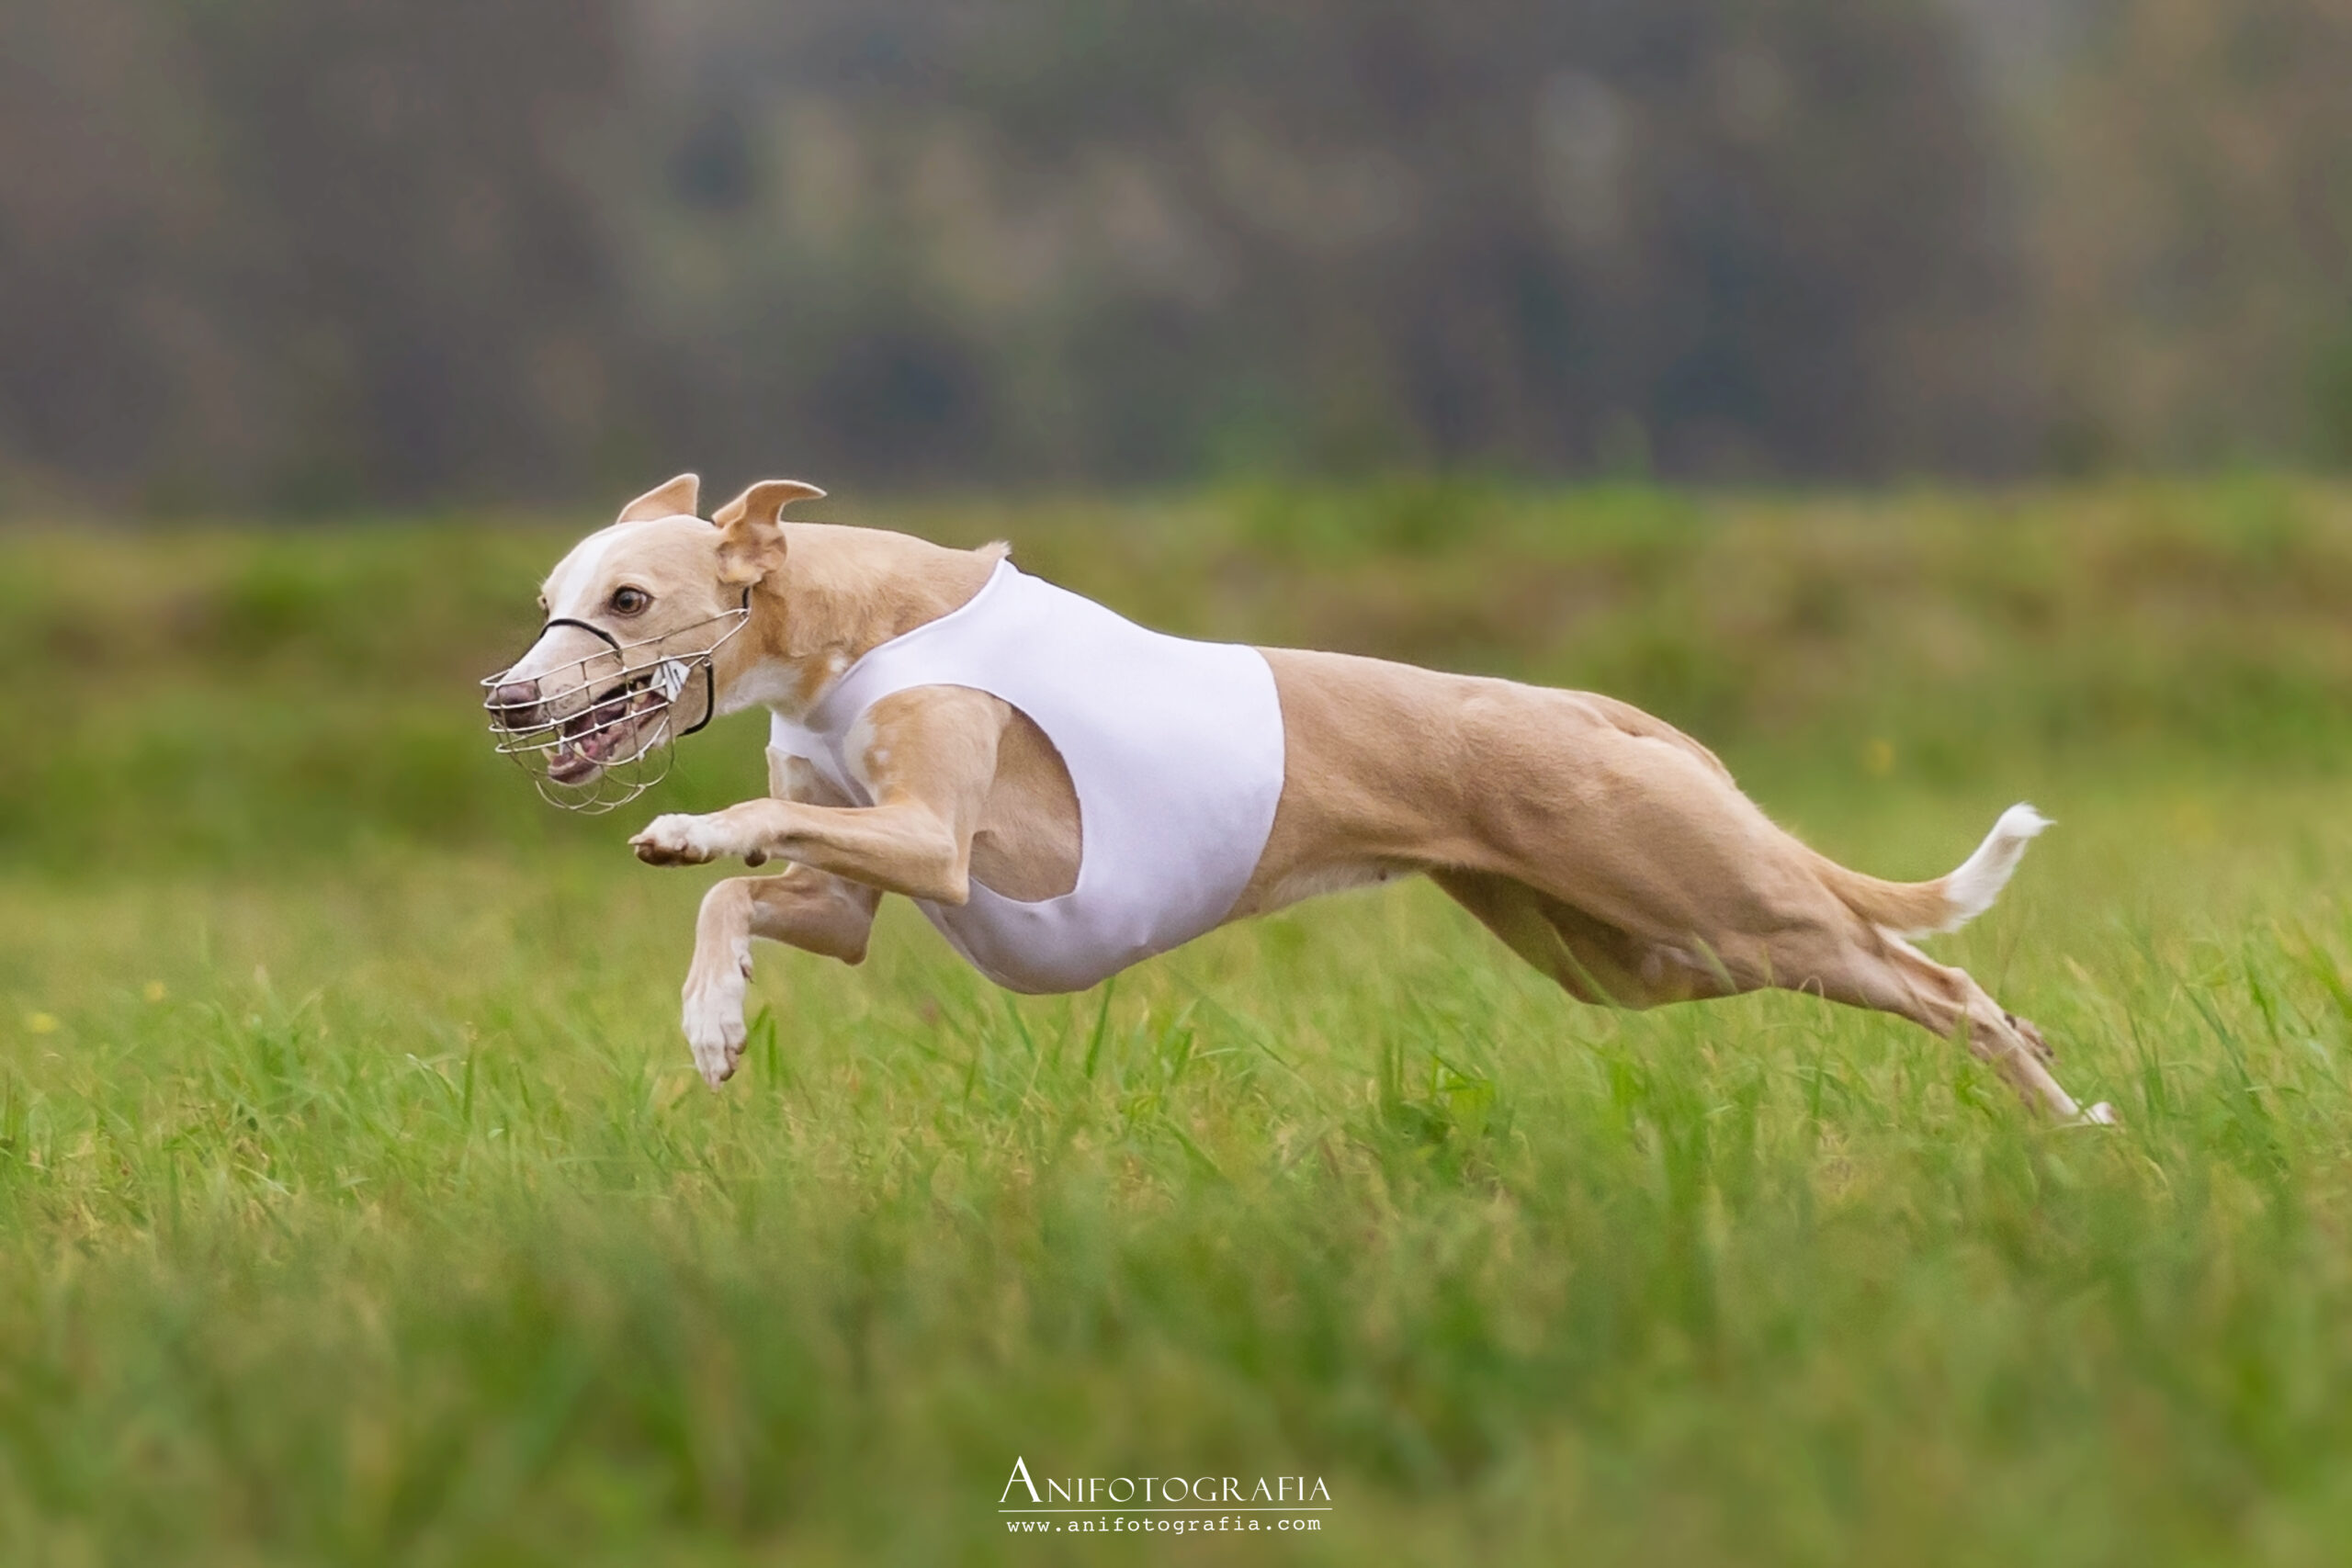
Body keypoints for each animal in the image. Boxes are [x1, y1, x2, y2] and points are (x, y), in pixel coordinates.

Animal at [486, 472, 2126, 1123]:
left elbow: (749, 836)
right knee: (1911, 969)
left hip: (1721, 899)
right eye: (550, 588)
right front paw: (714, 1021)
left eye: (630, 599)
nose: (506, 697)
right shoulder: (848, 898)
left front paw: (688, 823)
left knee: (1941, 980)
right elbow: (751, 899)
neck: (844, 623)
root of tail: (1602, 710)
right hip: (1639, 956)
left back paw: (2070, 1123)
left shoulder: (937, 845)